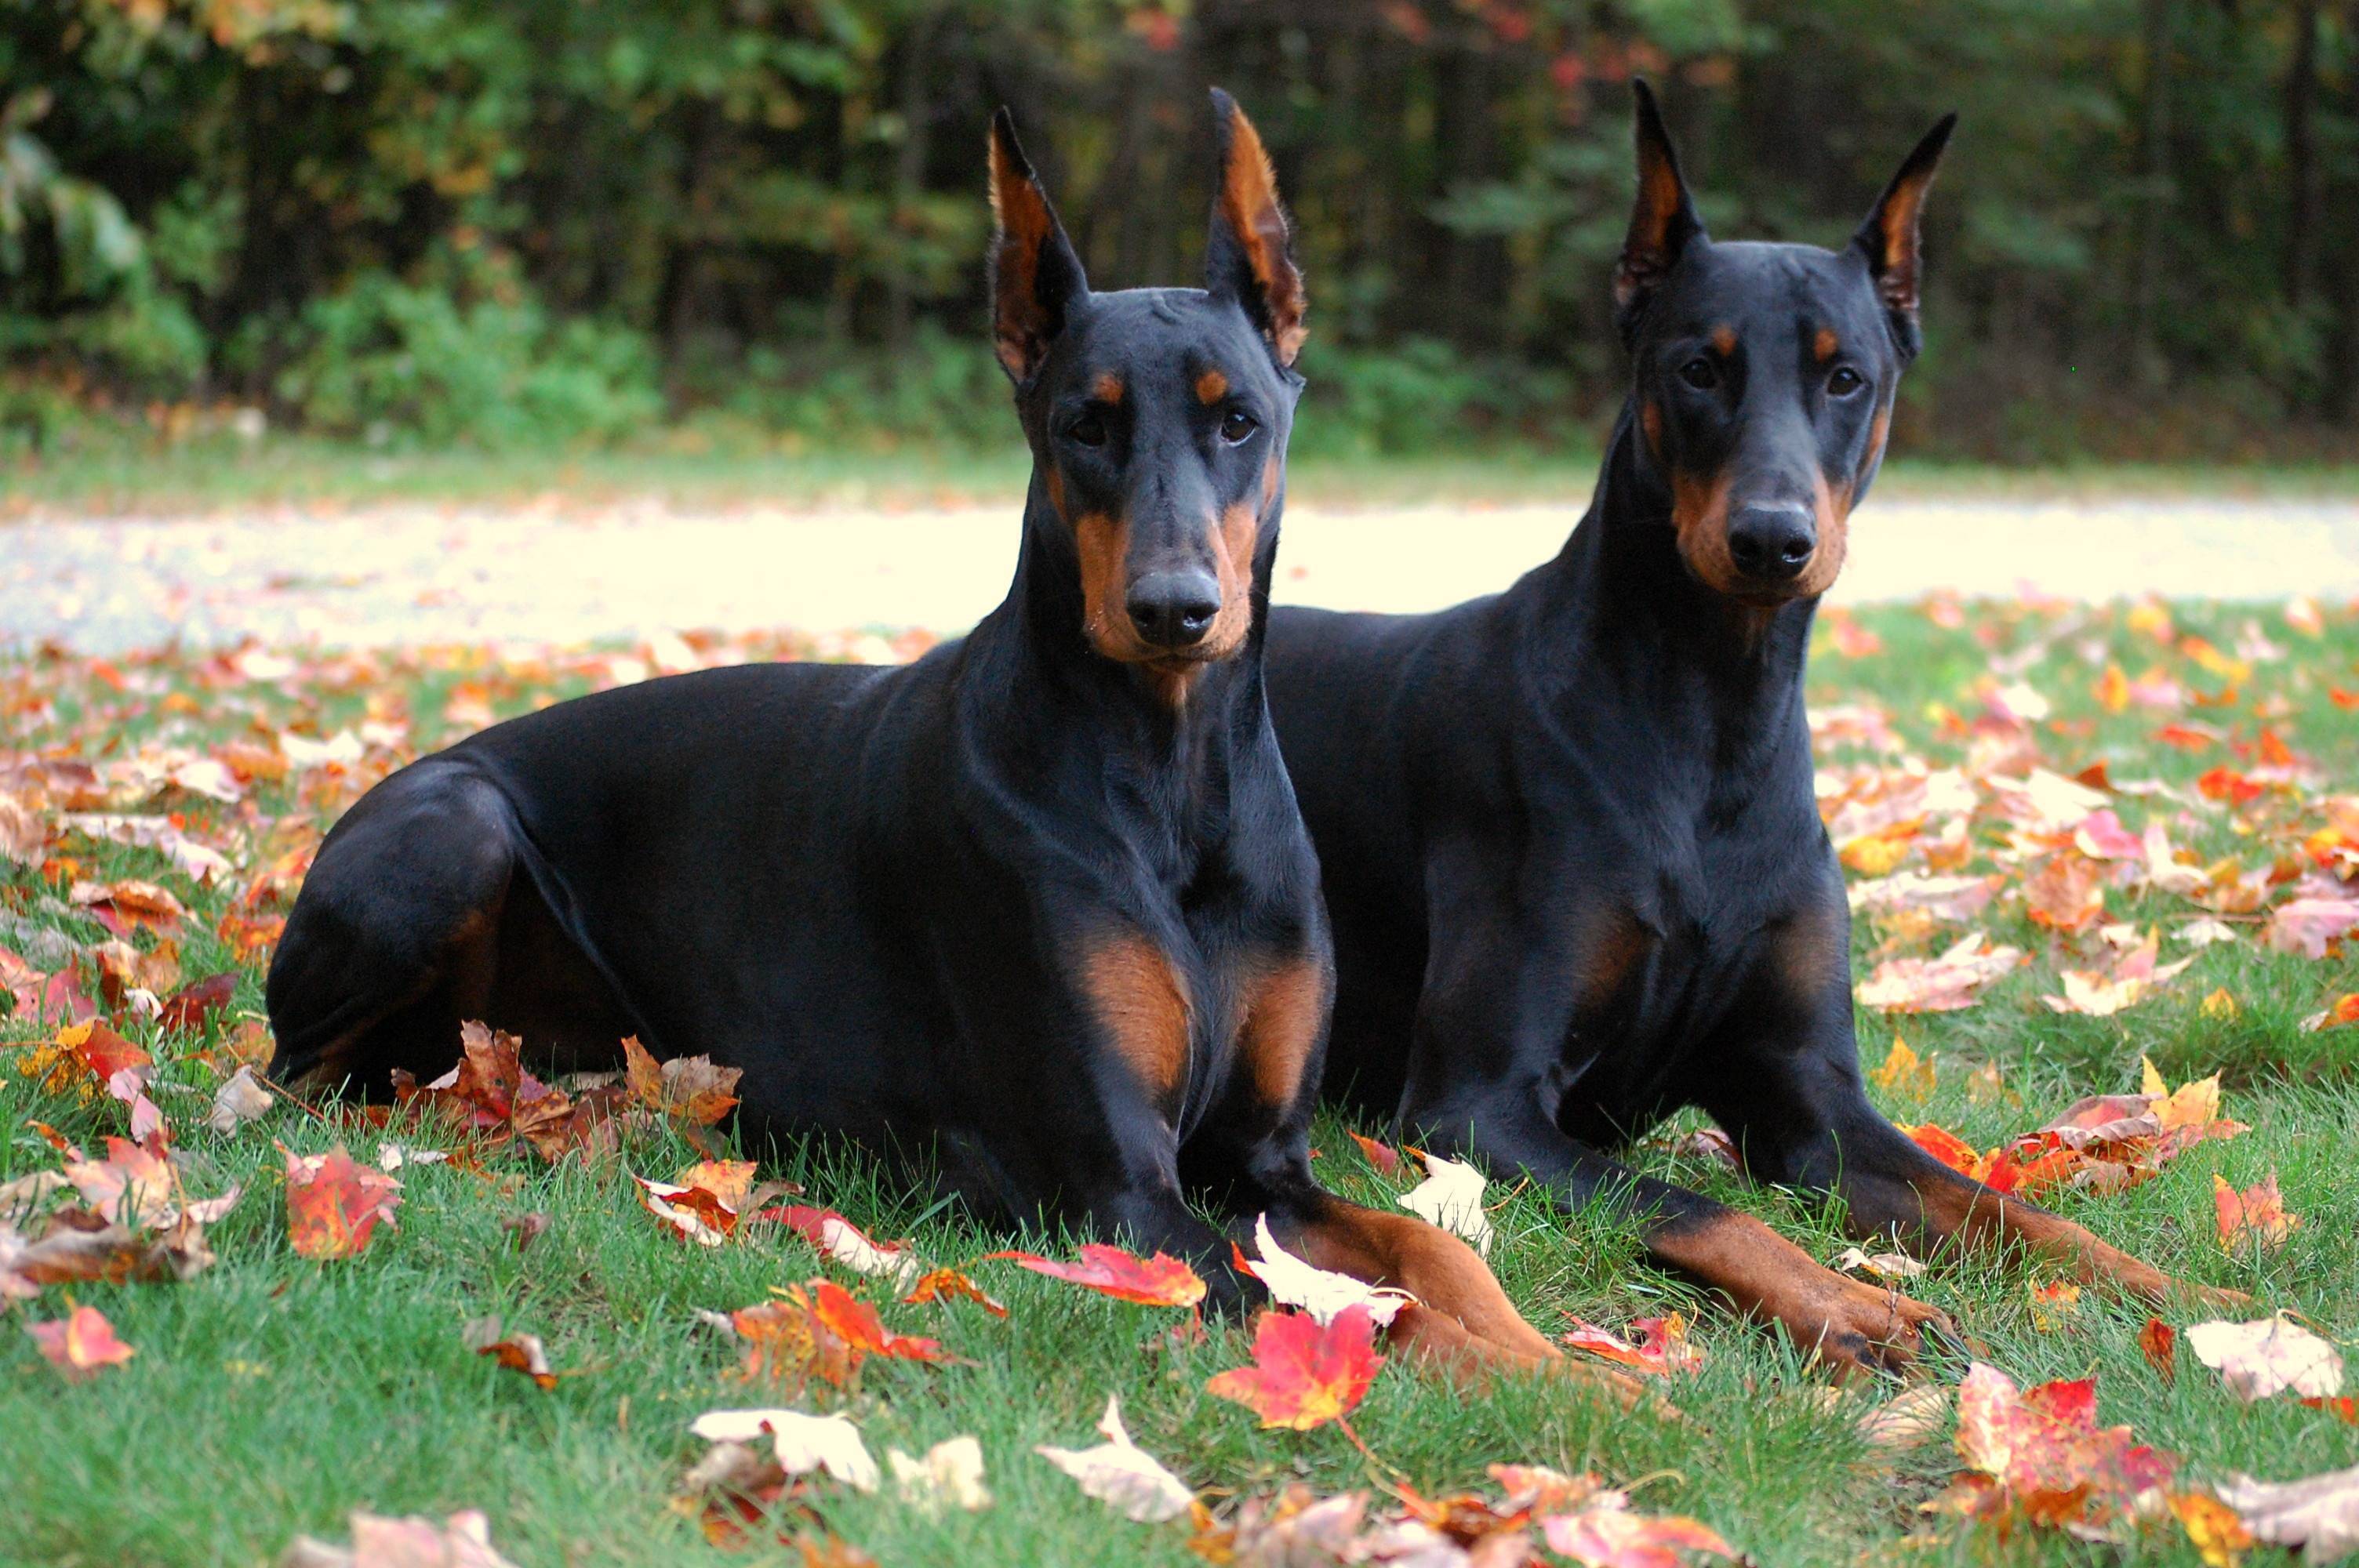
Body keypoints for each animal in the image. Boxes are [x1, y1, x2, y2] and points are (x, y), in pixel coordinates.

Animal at [267, 88, 1604, 1386]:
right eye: (1084, 425)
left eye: (1239, 422)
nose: (1174, 609)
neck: (1172, 772)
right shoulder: (1117, 1188)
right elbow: (1358, 1321)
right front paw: (1568, 1393)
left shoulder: (1265, 1157)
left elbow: (1432, 1255)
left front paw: (1586, 1369)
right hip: (457, 830)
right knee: (302, 1075)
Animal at [1264, 85, 2236, 1367]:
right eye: (1697, 368)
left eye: (1846, 377)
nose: (1772, 537)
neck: (1714, 716)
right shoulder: (1480, 1101)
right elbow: (1699, 1202)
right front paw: (1856, 1302)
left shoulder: (1809, 1099)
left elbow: (2007, 1208)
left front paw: (2186, 1298)